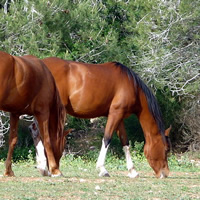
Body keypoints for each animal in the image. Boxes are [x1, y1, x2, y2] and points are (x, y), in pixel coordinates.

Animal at [41, 56, 172, 178]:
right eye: (166, 149)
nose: (165, 173)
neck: (133, 87)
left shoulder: (120, 117)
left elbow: (125, 142)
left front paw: (132, 171)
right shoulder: (115, 113)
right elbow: (107, 138)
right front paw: (102, 169)